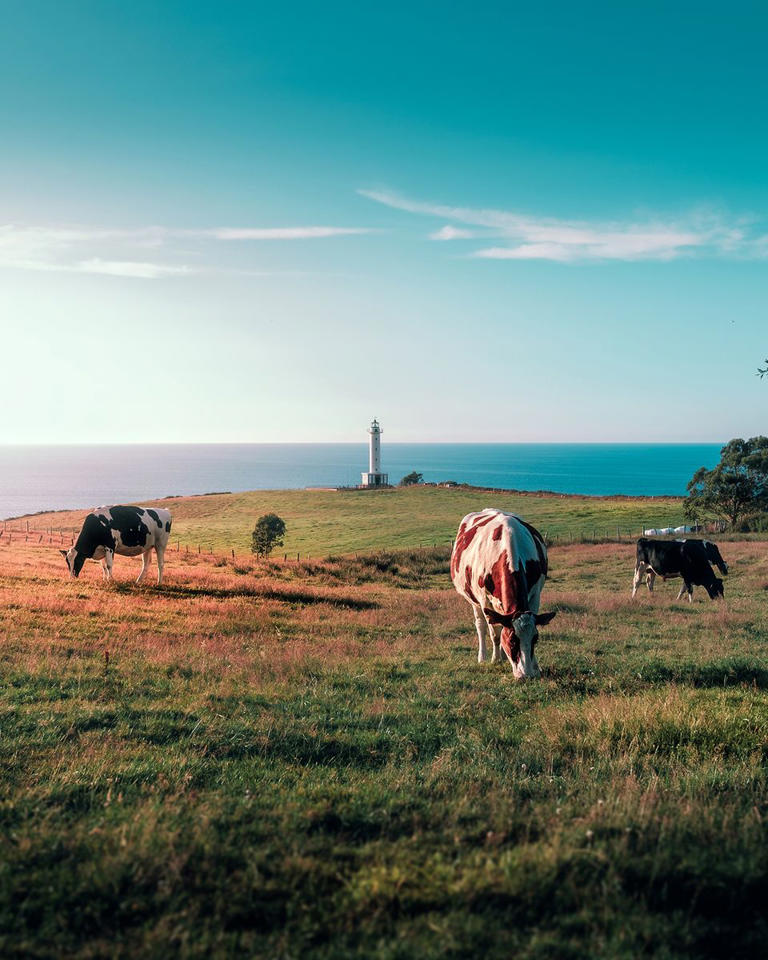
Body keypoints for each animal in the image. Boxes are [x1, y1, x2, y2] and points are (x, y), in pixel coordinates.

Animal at [450, 510, 560, 684]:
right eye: (512, 640)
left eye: (535, 639)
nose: (526, 675)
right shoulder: (484, 599)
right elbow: (495, 633)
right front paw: (496, 659)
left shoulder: (535, 595)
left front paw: (535, 666)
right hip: (474, 600)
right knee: (481, 625)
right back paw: (483, 657)